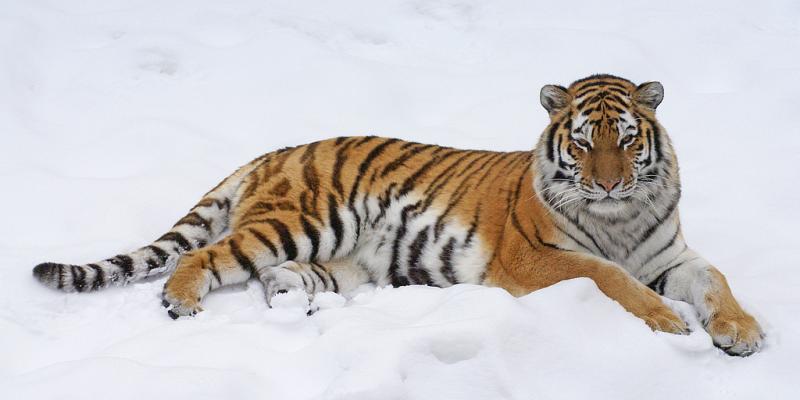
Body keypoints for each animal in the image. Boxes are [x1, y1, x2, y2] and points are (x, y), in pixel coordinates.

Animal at [33, 74, 764, 356]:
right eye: (584, 142)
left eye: (629, 140)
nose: (608, 183)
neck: (620, 219)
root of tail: (275, 152)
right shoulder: (535, 258)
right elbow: (610, 279)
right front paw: (669, 321)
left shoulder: (669, 256)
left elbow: (718, 279)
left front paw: (742, 330)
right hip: (304, 221)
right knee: (200, 253)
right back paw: (181, 302)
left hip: (344, 262)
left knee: (279, 277)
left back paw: (295, 306)